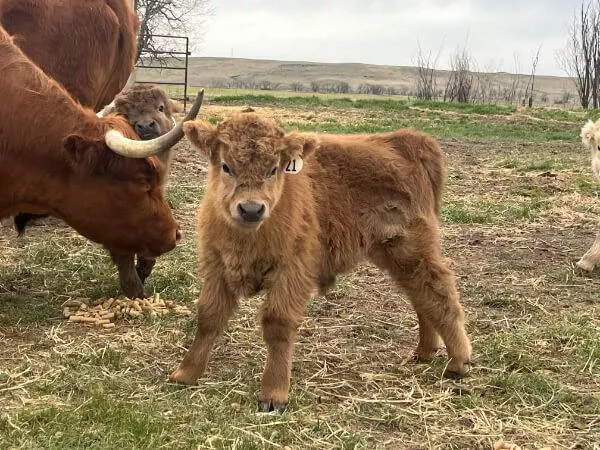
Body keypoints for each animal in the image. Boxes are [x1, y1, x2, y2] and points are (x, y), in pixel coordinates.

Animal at [170, 114, 474, 414]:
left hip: (411, 248)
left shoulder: (292, 272)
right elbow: (209, 316)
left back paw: (458, 363)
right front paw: (185, 374)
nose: (251, 209)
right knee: (421, 295)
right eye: (226, 165)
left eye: (274, 169)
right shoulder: (216, 267)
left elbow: (277, 324)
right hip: (396, 254)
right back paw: (424, 352)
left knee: (438, 291)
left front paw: (274, 395)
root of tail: (408, 141)